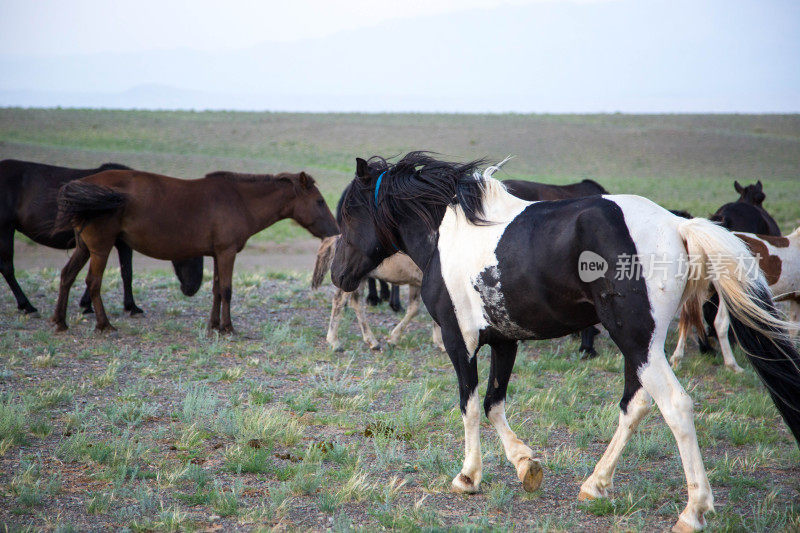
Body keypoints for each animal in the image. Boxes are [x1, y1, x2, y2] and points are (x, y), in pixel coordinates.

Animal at [1, 160, 202, 314]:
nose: (193, 288)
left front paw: (87, 304)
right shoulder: (120, 243)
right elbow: (126, 272)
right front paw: (132, 307)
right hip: (6, 229)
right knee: (8, 268)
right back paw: (27, 305)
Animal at [50, 168, 338, 332]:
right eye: (319, 201)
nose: (336, 231)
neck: (240, 200)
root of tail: (82, 185)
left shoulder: (218, 254)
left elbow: (216, 291)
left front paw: (214, 325)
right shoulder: (227, 253)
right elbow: (227, 290)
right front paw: (228, 328)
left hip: (84, 248)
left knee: (67, 276)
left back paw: (60, 322)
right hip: (100, 249)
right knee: (93, 282)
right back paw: (104, 325)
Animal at [332, 152, 800, 532]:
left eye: (350, 216)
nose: (338, 275)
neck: (447, 234)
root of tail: (677, 224)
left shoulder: (458, 339)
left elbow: (469, 405)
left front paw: (468, 476)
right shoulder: (505, 340)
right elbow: (494, 403)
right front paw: (526, 465)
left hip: (637, 341)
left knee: (675, 406)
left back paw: (693, 511)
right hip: (641, 346)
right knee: (635, 405)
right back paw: (595, 485)